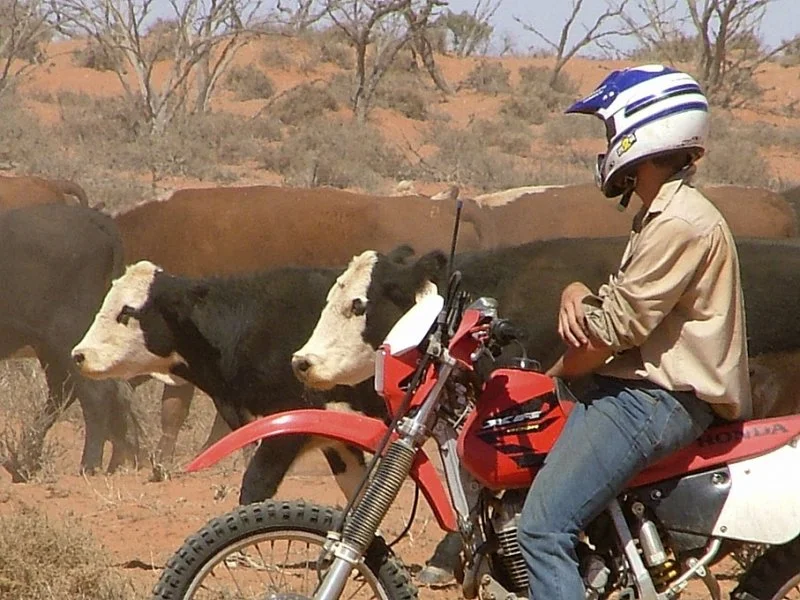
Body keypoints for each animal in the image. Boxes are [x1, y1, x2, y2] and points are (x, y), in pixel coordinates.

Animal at [0, 204, 139, 482]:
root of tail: (91, 217)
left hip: (64, 338)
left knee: (93, 393)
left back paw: (87, 466)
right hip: (48, 347)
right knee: (64, 392)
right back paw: (25, 464)